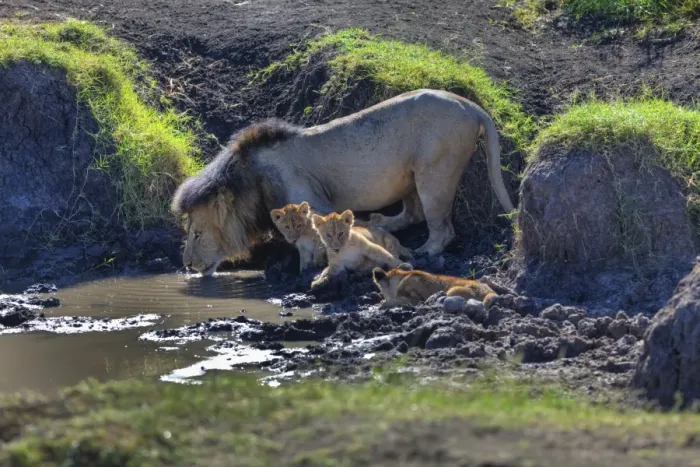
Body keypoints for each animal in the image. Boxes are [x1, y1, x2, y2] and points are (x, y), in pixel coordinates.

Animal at [171, 89, 515, 276]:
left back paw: (425, 250)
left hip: (435, 170)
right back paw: (382, 221)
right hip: (412, 176)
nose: (186, 264)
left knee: (442, 228)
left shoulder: (312, 199)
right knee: (413, 213)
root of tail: (471, 106)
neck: (250, 178)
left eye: (197, 234)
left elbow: (318, 235)